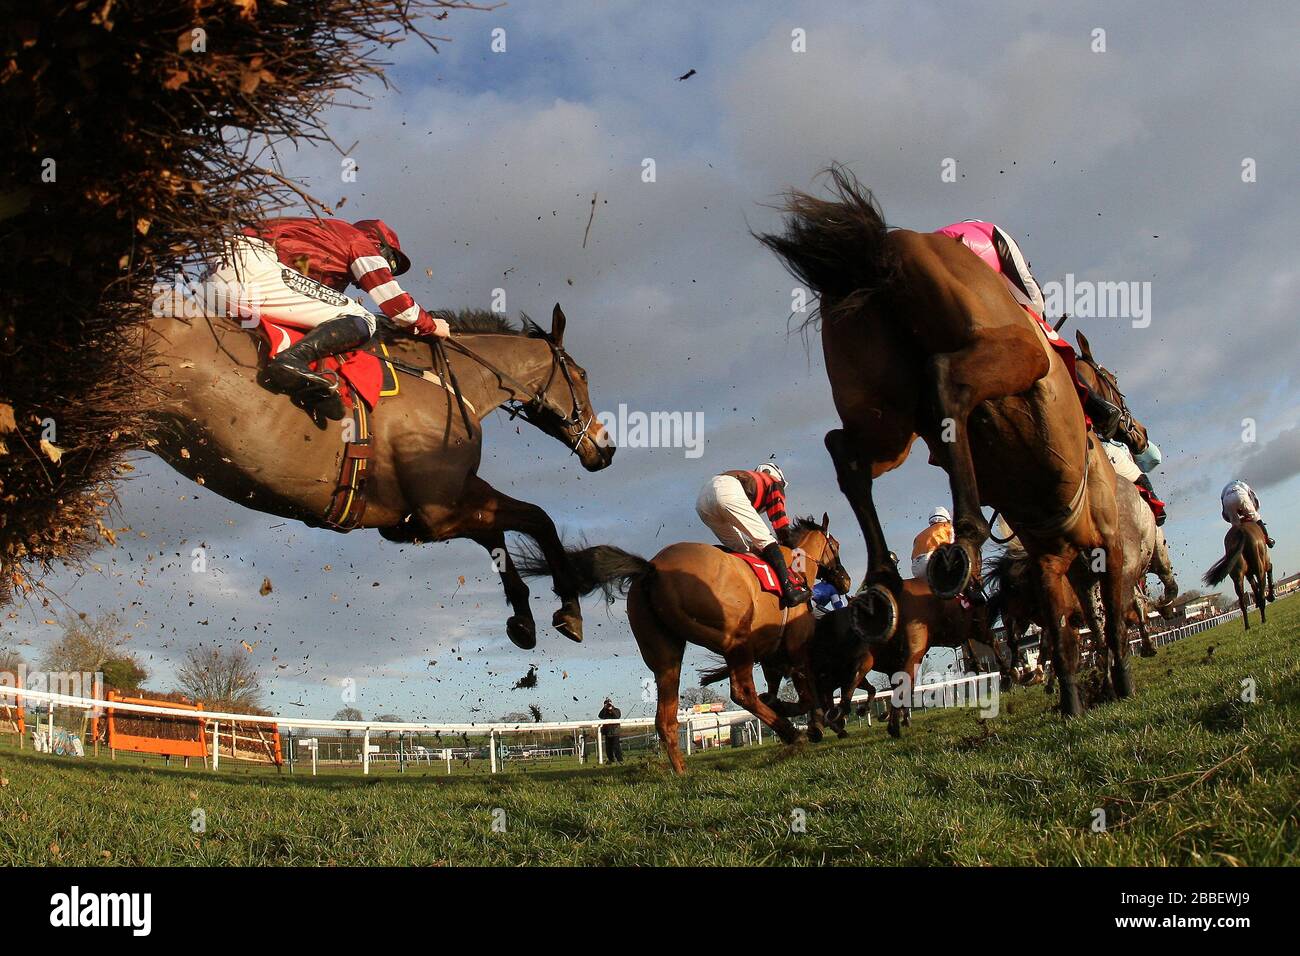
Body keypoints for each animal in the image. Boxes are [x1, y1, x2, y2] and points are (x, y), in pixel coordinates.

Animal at [139, 303, 616, 655]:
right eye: (582, 376)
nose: (606, 447)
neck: (446, 383)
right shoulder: (436, 514)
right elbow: (537, 518)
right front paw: (569, 606)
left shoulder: (436, 507)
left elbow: (501, 535)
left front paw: (523, 617)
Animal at [512, 515, 857, 770]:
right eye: (836, 545)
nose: (845, 580)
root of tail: (652, 567)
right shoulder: (794, 647)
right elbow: (805, 691)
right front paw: (812, 724)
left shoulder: (774, 656)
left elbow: (790, 690)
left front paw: (810, 720)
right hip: (735, 640)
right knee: (742, 693)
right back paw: (791, 735)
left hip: (666, 656)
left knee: (665, 717)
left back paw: (680, 769)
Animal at [759, 167, 1133, 712]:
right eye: (1111, 380)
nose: (1130, 430)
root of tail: (882, 251)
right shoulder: (1104, 545)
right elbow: (1109, 620)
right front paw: (1115, 683)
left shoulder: (1053, 559)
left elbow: (1064, 636)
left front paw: (1074, 698)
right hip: (1014, 354)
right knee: (946, 385)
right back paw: (964, 540)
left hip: (887, 420)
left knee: (845, 449)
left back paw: (882, 583)